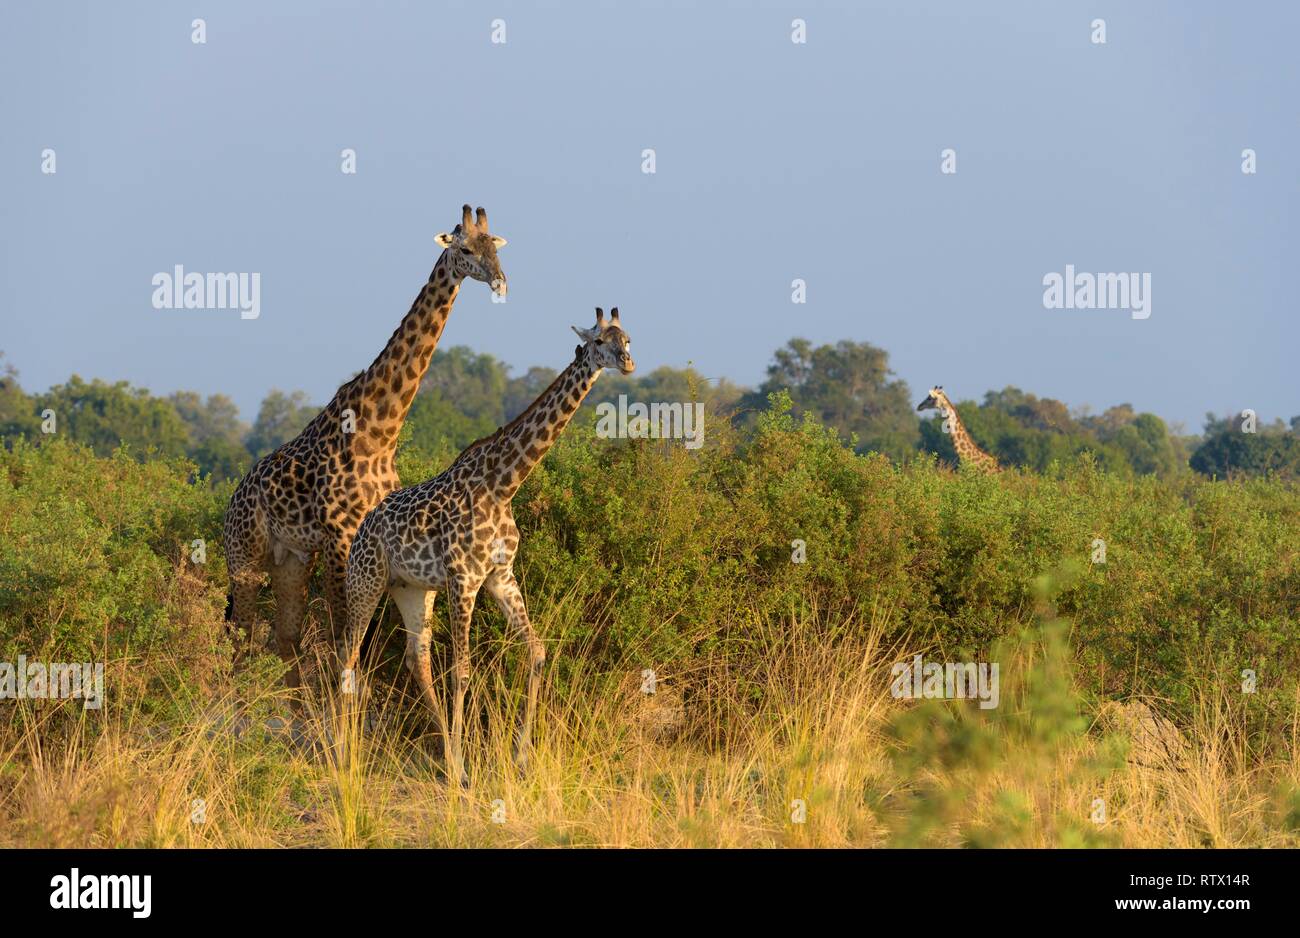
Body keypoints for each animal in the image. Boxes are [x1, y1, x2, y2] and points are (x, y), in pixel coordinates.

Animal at [223, 205, 506, 691]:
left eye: (495, 246)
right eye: (465, 249)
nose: (500, 280)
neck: (380, 430)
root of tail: (231, 501)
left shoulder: (362, 537)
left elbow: (364, 639)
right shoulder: (340, 535)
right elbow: (345, 636)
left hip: (290, 559)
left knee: (286, 638)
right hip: (243, 555)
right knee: (241, 633)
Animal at [338, 306, 637, 779]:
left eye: (626, 338)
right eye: (598, 342)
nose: (627, 362)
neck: (504, 485)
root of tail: (363, 527)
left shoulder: (500, 575)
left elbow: (536, 652)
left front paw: (518, 759)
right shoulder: (464, 579)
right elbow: (461, 670)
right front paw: (463, 771)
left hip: (412, 589)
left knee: (417, 659)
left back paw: (436, 750)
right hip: (365, 582)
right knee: (347, 658)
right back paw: (341, 754)